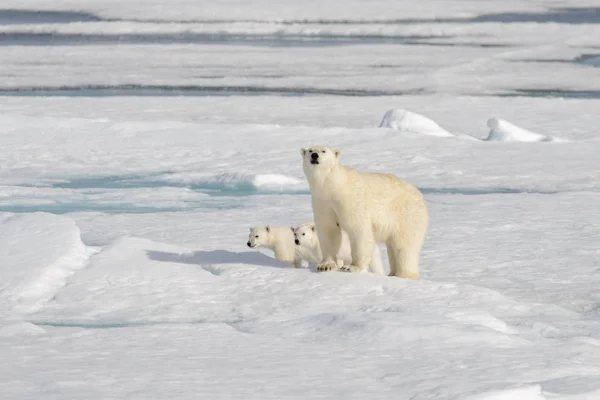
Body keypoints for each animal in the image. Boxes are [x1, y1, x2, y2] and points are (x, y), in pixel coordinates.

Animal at [302, 145, 428, 280]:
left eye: (323, 151)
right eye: (310, 150)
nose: (314, 155)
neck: (333, 186)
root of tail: (420, 196)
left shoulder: (351, 199)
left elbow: (358, 229)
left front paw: (352, 267)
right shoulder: (323, 202)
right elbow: (328, 229)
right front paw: (325, 266)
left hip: (407, 214)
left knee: (404, 246)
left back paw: (404, 275)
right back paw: (392, 273)